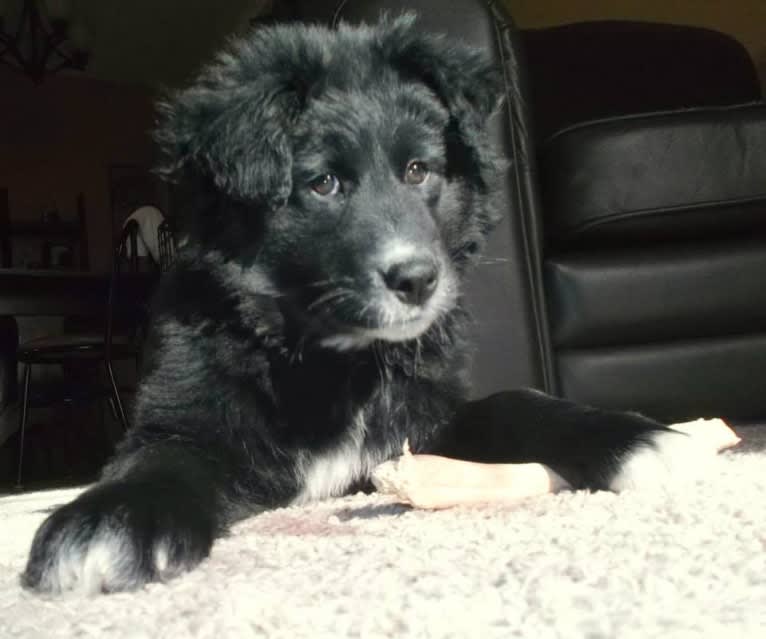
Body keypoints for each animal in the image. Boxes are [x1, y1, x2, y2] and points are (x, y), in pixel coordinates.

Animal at [22, 15, 684, 596]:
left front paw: (634, 437)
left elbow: (513, 403)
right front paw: (112, 520)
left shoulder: (423, 418)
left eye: (418, 170)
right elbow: (163, 456)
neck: (335, 357)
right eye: (323, 184)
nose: (418, 280)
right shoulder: (188, 413)